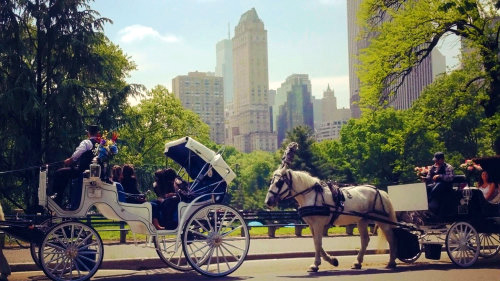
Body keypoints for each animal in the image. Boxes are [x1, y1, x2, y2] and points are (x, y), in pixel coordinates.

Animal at [264, 166, 396, 272]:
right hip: (362, 221)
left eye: (279, 182)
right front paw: (332, 260)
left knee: (390, 237)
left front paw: (315, 265)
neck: (311, 195)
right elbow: (316, 243)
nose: (268, 201)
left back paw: (391, 262)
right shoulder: (312, 224)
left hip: (381, 220)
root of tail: (381, 191)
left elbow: (318, 243)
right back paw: (358, 262)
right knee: (365, 240)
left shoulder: (318, 223)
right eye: (271, 181)